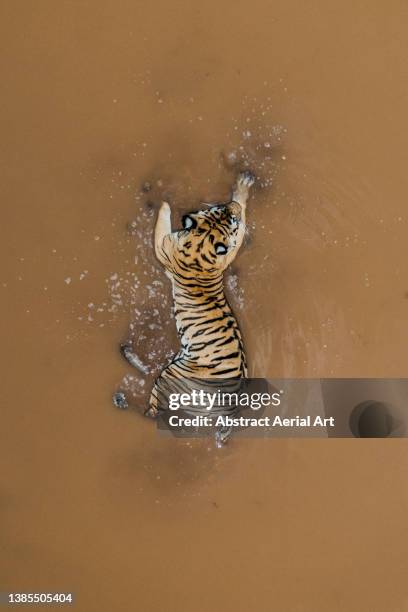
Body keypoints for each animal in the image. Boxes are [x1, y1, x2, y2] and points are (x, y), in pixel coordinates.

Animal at [113, 170, 255, 448]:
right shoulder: (228, 252)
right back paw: (127, 353)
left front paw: (164, 202)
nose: (231, 205)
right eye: (225, 212)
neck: (203, 242)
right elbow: (241, 233)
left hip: (172, 377)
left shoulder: (163, 246)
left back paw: (121, 396)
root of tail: (232, 410)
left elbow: (162, 222)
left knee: (150, 411)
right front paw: (242, 188)